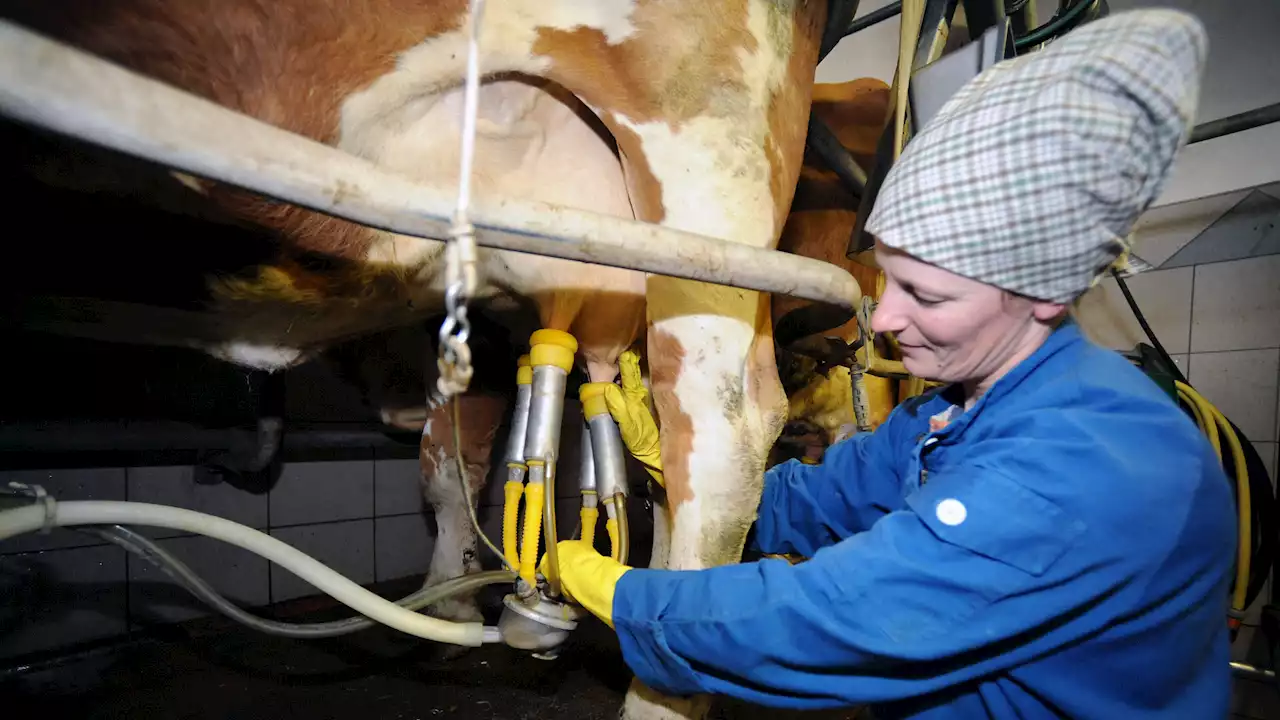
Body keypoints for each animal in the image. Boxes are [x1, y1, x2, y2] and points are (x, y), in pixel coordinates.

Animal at [0, 1, 834, 717]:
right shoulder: (481, 330)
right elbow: (448, 467)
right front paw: (454, 600)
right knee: (653, 454)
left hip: (706, 168)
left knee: (718, 434)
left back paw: (661, 681)